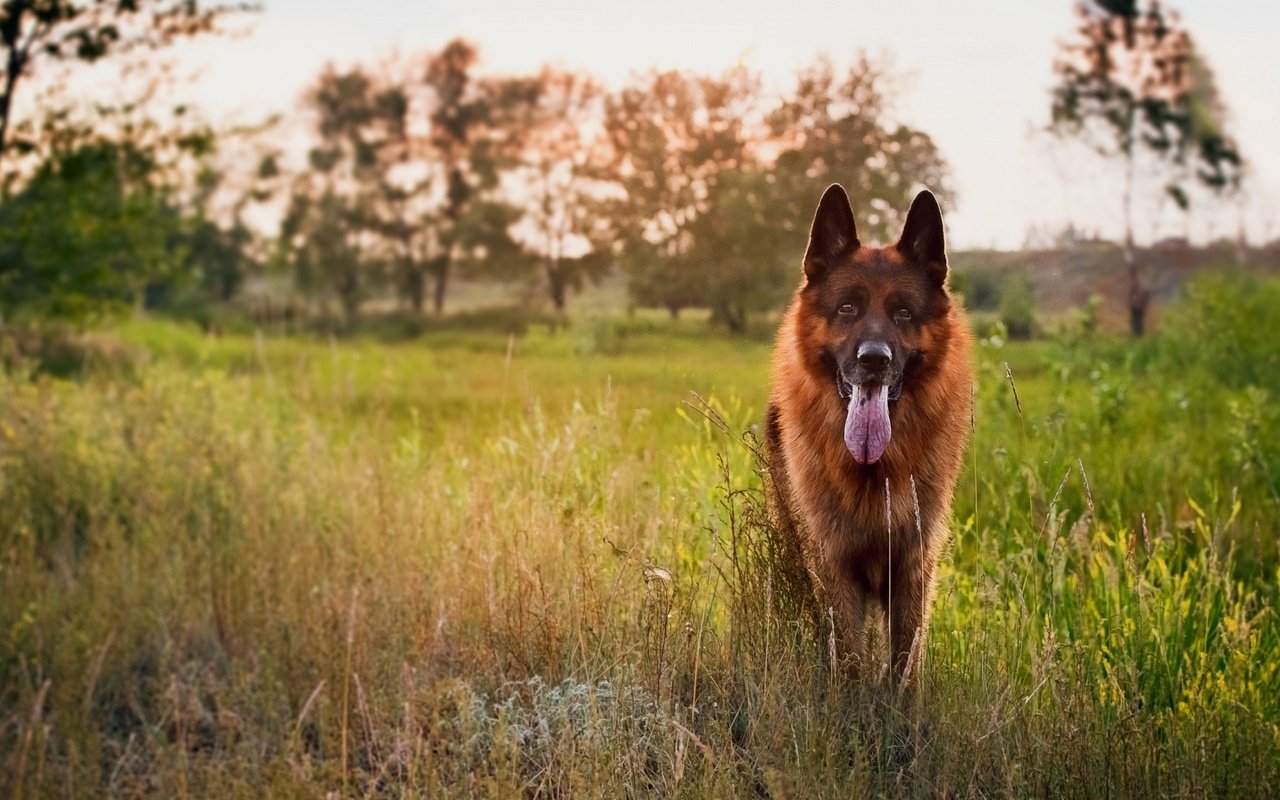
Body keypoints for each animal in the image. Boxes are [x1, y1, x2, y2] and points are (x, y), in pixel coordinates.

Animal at [768, 184, 967, 680]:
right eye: (847, 308)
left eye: (903, 313)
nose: (874, 359)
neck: (875, 470)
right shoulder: (835, 569)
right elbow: (853, 660)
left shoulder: (913, 571)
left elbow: (904, 666)